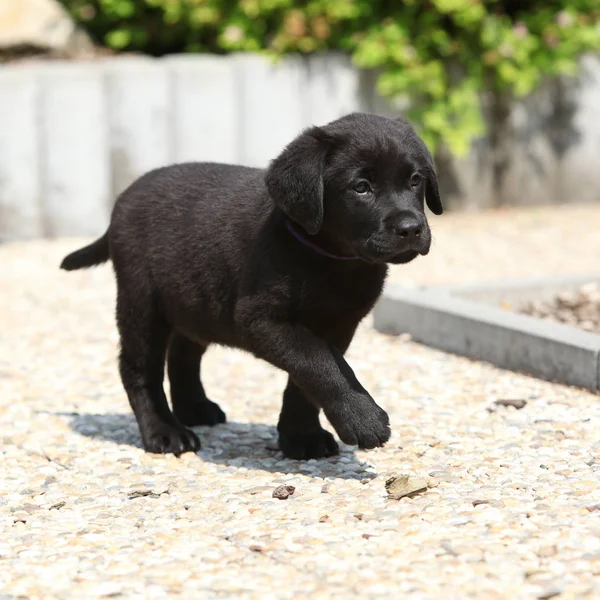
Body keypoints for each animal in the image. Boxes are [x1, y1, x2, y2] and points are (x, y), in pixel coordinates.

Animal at [61, 112, 442, 460]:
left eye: (415, 181)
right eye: (361, 187)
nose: (411, 228)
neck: (330, 259)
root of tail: (122, 201)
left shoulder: (340, 324)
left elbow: (306, 381)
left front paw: (302, 437)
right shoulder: (259, 319)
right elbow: (320, 363)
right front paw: (361, 417)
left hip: (194, 300)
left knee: (183, 353)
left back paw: (194, 408)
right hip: (142, 301)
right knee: (139, 369)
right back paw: (165, 431)